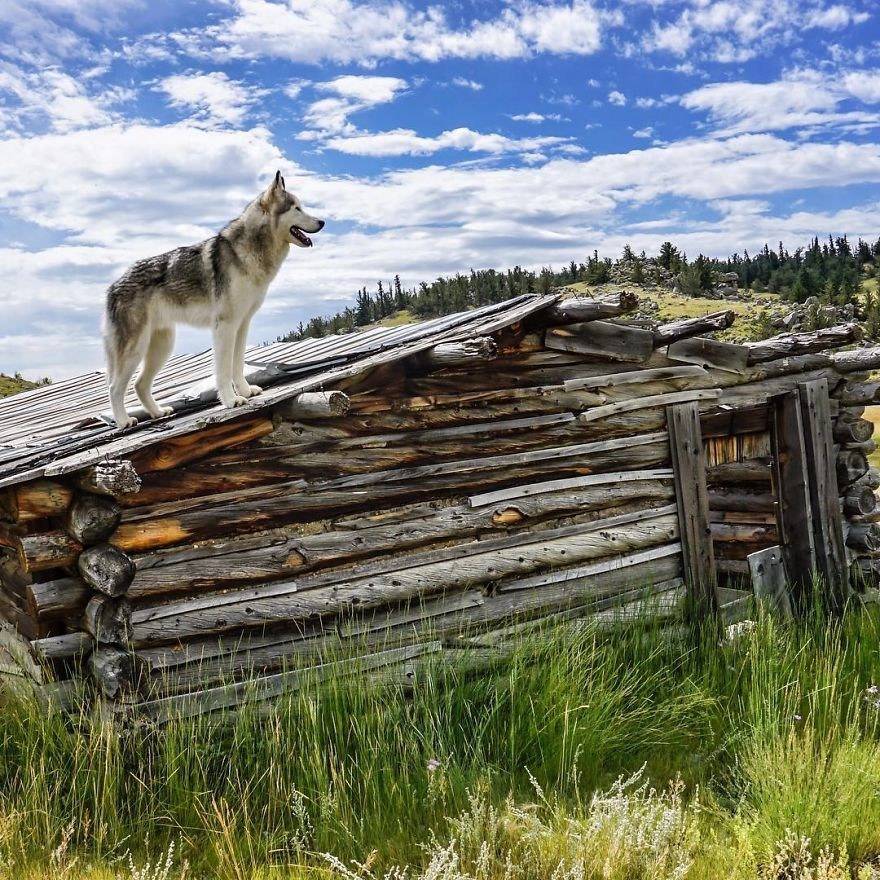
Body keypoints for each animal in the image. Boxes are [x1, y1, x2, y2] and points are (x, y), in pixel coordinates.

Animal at [103, 172, 324, 426]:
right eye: (296, 208)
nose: (322, 222)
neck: (248, 250)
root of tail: (112, 287)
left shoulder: (242, 325)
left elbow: (238, 365)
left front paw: (245, 392)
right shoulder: (225, 326)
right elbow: (224, 370)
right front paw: (231, 401)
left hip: (163, 347)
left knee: (139, 385)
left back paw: (158, 412)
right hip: (135, 350)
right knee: (114, 388)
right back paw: (124, 422)